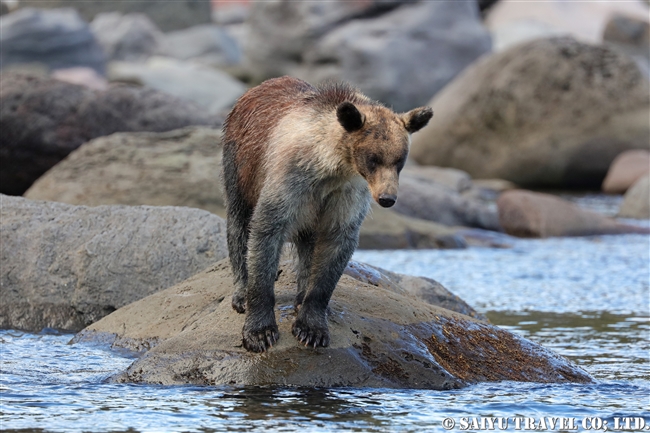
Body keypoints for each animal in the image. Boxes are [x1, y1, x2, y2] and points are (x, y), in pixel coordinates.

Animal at [221, 77, 430, 352]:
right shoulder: (289, 181)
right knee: (238, 223)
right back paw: (241, 293)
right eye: (373, 158)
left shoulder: (345, 195)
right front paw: (260, 332)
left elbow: (335, 248)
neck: (329, 166)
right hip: (239, 163)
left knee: (308, 243)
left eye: (399, 161)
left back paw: (300, 295)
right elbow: (265, 232)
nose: (387, 198)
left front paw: (311, 327)